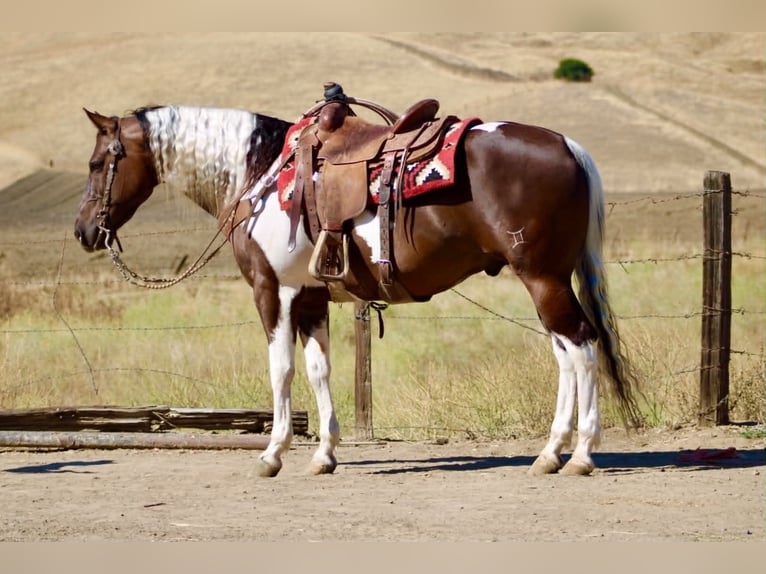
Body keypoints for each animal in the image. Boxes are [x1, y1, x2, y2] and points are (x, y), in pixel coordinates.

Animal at [74, 91, 641, 477]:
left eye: (98, 162)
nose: (83, 232)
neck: (262, 174)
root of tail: (567, 145)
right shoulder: (310, 297)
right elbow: (318, 369)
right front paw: (324, 454)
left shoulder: (271, 291)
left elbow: (280, 371)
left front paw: (273, 453)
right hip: (546, 279)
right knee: (565, 353)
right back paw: (550, 453)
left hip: (542, 277)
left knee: (582, 347)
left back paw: (581, 454)